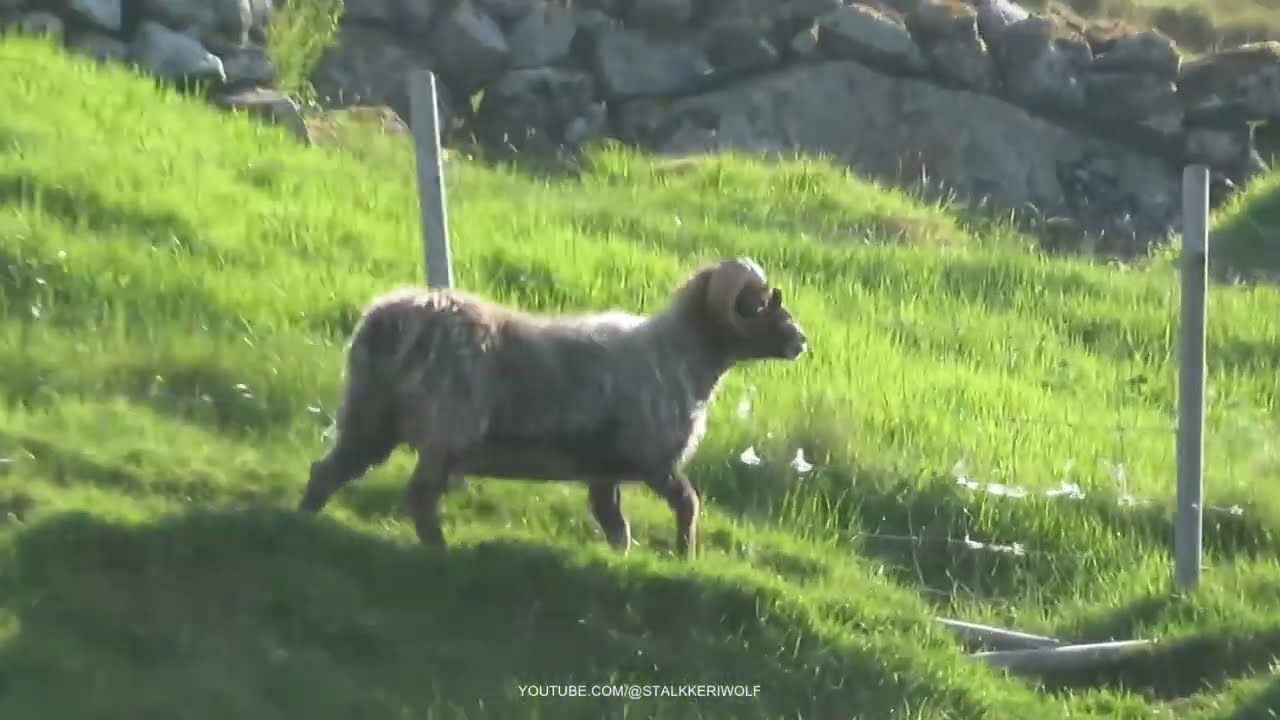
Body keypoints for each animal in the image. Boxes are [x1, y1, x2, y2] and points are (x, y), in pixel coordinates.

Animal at [297, 257, 809, 559]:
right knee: (420, 497)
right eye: (762, 302)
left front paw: (621, 561)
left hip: (370, 417)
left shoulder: (604, 473)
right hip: (445, 433)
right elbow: (688, 504)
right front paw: (685, 557)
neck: (682, 353)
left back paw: (302, 521)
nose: (802, 340)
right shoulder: (653, 459)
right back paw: (440, 552)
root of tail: (387, 322)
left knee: (328, 470)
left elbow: (615, 525)